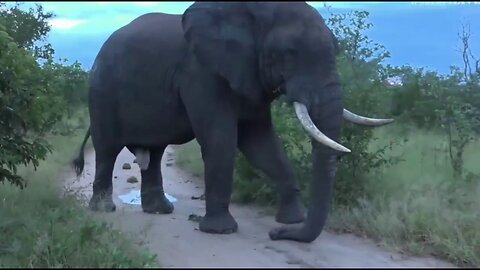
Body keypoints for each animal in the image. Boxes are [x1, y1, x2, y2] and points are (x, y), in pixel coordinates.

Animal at [72, 1, 394, 243]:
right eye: (289, 53)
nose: (276, 234)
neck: (251, 13)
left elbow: (261, 142)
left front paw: (292, 219)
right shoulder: (201, 72)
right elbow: (221, 139)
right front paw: (221, 231)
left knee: (155, 152)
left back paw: (160, 210)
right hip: (101, 91)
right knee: (108, 149)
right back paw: (103, 209)